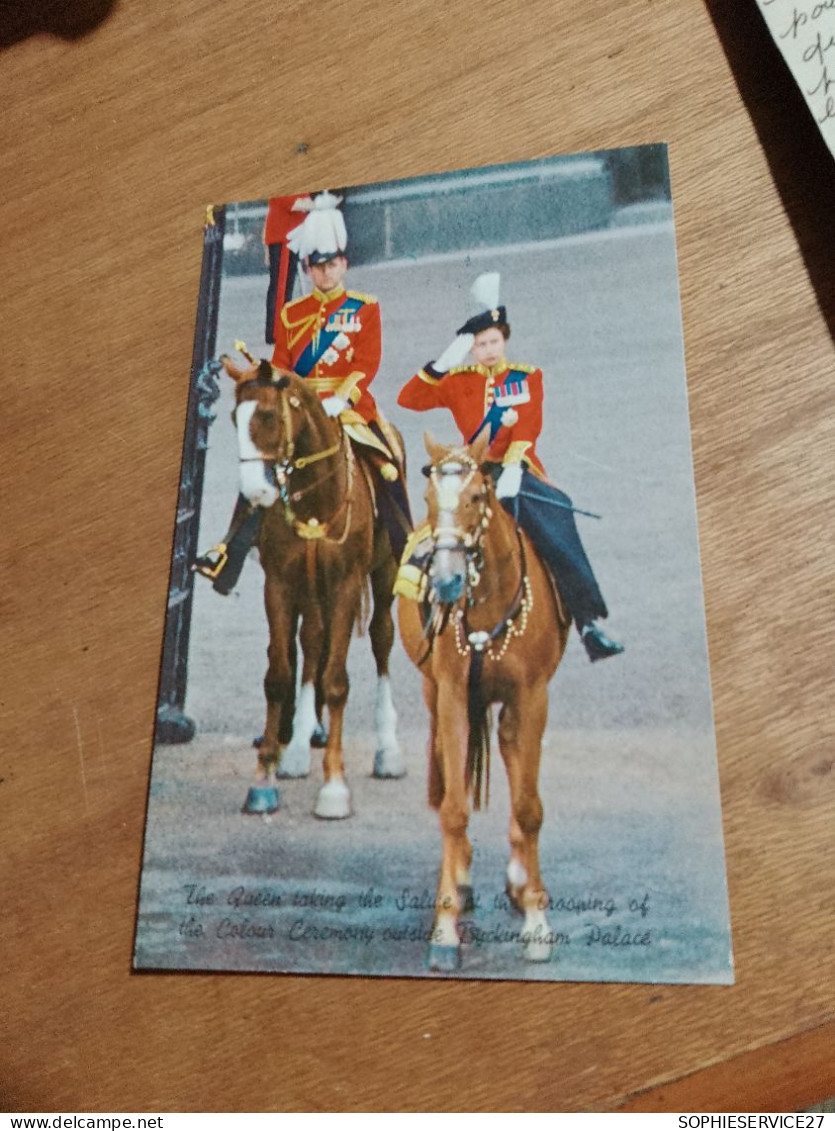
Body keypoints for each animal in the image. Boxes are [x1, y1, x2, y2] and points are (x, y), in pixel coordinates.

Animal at [221, 357, 402, 818]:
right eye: (233, 418)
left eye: (268, 415)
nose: (256, 491)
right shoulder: (281, 585)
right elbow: (279, 675)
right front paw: (264, 779)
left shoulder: (346, 583)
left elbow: (336, 681)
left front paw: (334, 787)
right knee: (313, 640)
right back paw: (300, 747)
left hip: (384, 574)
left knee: (381, 640)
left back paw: (387, 749)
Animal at [398, 432, 572, 972]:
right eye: (429, 499)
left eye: (477, 497)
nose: (446, 581)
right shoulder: (453, 695)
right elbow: (453, 809)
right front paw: (445, 928)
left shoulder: (532, 698)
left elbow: (529, 806)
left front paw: (537, 919)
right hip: (433, 693)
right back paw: (460, 879)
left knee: (514, 760)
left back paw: (516, 880)